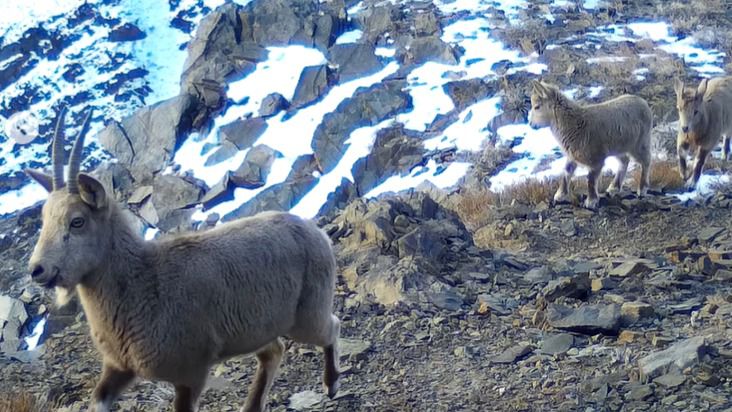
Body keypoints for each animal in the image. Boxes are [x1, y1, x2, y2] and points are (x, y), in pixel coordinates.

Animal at [24, 108, 342, 412]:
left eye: (77, 221)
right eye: (44, 219)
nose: (37, 269)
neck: (142, 284)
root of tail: (314, 231)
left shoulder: (191, 372)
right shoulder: (120, 366)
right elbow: (98, 401)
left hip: (307, 315)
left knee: (331, 327)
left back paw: (331, 384)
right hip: (258, 331)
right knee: (273, 351)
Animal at [528, 80, 656, 209]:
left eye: (537, 107)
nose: (531, 124)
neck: (575, 125)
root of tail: (643, 103)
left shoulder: (595, 158)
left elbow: (591, 180)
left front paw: (591, 201)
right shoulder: (572, 156)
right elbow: (566, 173)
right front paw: (559, 195)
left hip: (640, 143)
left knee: (646, 161)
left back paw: (642, 189)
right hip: (618, 146)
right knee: (624, 161)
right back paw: (613, 188)